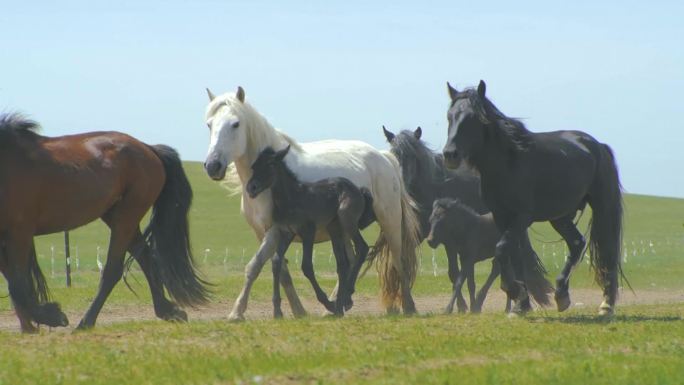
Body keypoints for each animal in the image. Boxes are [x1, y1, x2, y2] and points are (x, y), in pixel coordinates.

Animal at [0, 112, 208, 332]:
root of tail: (149, 148)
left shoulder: (19, 232)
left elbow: (18, 283)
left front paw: (52, 316)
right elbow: (12, 280)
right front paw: (29, 327)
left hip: (126, 217)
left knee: (112, 269)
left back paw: (85, 322)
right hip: (118, 217)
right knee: (146, 257)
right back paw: (168, 311)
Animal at [246, 144, 374, 316]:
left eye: (271, 164)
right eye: (254, 166)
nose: (251, 188)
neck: (290, 199)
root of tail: (359, 190)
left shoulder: (308, 232)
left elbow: (306, 266)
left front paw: (327, 303)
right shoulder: (286, 233)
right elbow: (276, 262)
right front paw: (277, 310)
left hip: (347, 220)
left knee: (362, 248)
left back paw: (345, 298)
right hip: (334, 228)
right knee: (342, 264)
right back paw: (340, 305)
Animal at [382, 126, 552, 312]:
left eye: (412, 156)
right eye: (393, 154)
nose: (402, 183)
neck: (431, 189)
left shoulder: (449, 242)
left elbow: (455, 273)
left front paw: (462, 306)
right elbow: (402, 265)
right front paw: (406, 305)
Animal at [444, 81, 624, 316]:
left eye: (474, 118)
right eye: (450, 116)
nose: (450, 154)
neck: (508, 163)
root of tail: (597, 145)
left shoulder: (522, 217)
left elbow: (501, 250)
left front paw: (513, 290)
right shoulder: (502, 217)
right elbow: (513, 255)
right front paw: (521, 304)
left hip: (602, 208)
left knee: (607, 250)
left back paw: (606, 305)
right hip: (560, 216)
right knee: (577, 243)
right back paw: (561, 295)